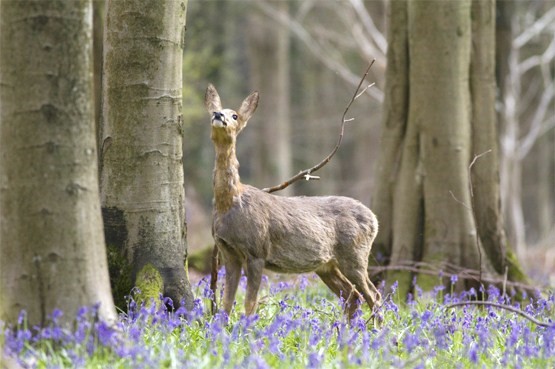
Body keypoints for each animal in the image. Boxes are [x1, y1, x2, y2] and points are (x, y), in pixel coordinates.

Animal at [204, 84, 382, 320]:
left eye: (235, 115)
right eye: (216, 110)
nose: (218, 115)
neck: (230, 203)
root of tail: (374, 219)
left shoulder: (256, 250)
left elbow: (250, 304)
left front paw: (247, 327)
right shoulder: (228, 253)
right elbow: (226, 303)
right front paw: (222, 327)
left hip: (355, 254)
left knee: (374, 295)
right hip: (327, 265)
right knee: (353, 296)